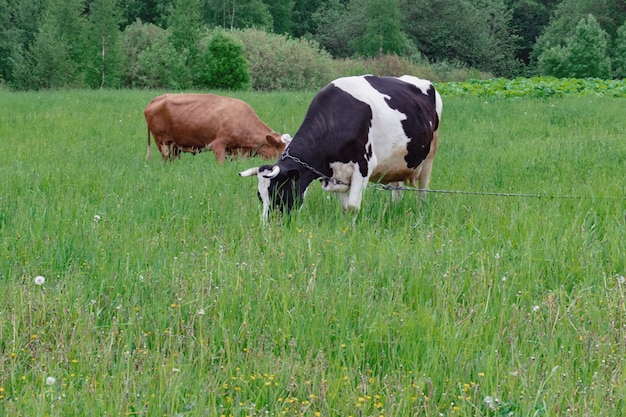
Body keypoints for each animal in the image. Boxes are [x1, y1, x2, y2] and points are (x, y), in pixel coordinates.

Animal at [238, 75, 438, 219]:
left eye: (278, 193)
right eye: (260, 196)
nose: (268, 225)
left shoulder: (363, 166)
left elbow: (353, 207)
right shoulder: (334, 176)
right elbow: (344, 207)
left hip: (429, 157)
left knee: (423, 191)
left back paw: (421, 213)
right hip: (397, 162)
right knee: (397, 189)